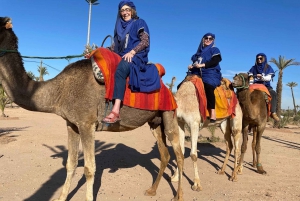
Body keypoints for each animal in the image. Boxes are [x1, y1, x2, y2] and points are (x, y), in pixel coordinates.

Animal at [0, 16, 184, 201]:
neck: (61, 90)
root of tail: (168, 89)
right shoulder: (72, 124)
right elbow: (71, 164)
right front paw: (62, 197)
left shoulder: (86, 124)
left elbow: (89, 168)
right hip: (155, 122)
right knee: (165, 154)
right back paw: (152, 190)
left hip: (169, 114)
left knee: (179, 153)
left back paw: (179, 196)